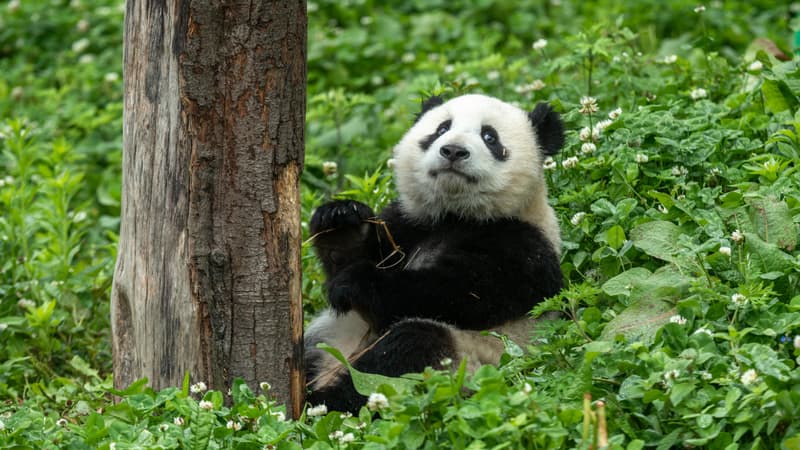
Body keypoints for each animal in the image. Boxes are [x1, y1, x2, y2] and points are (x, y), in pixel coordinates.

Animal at [305, 94, 565, 413]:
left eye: (489, 136)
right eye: (442, 128)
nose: (453, 151)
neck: (455, 215)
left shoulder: (522, 248)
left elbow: (453, 294)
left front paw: (357, 282)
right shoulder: (407, 224)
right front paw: (340, 222)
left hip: (468, 359)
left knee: (402, 354)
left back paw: (321, 402)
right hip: (329, 337)